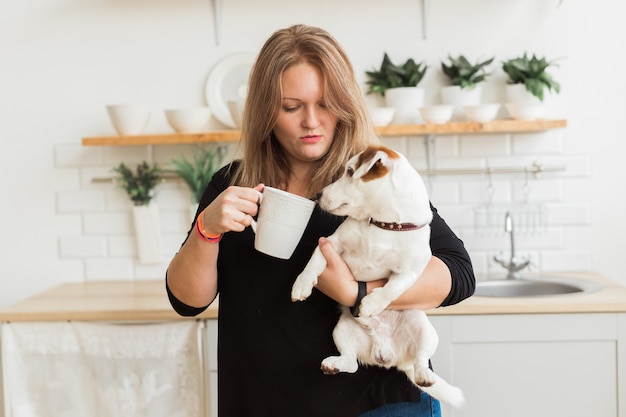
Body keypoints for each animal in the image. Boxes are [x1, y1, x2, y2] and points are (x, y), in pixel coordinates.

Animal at [288, 144, 464, 406]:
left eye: (350, 171)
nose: (317, 195)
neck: (383, 224)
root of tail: (388, 355)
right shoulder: (332, 244)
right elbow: (315, 259)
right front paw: (302, 284)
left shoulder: (410, 271)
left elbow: (393, 288)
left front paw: (371, 303)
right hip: (342, 330)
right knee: (351, 363)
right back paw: (333, 364)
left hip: (424, 329)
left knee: (421, 359)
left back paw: (424, 375)